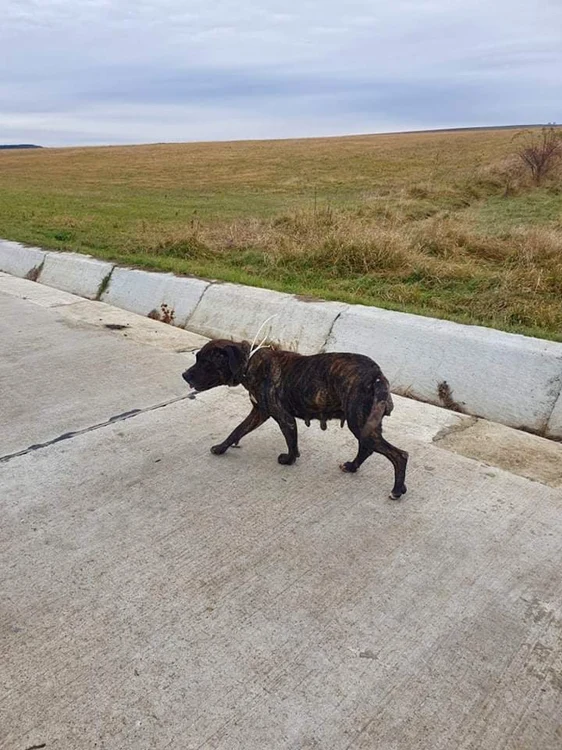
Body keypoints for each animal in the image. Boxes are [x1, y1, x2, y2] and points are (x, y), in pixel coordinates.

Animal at [184, 340, 406, 500]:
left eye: (206, 362)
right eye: (197, 358)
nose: (184, 375)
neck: (248, 363)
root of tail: (376, 374)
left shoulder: (284, 418)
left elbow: (291, 442)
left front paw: (289, 460)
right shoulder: (259, 413)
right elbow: (237, 430)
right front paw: (222, 448)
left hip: (359, 423)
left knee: (399, 455)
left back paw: (396, 489)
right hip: (365, 424)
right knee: (367, 448)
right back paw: (352, 466)